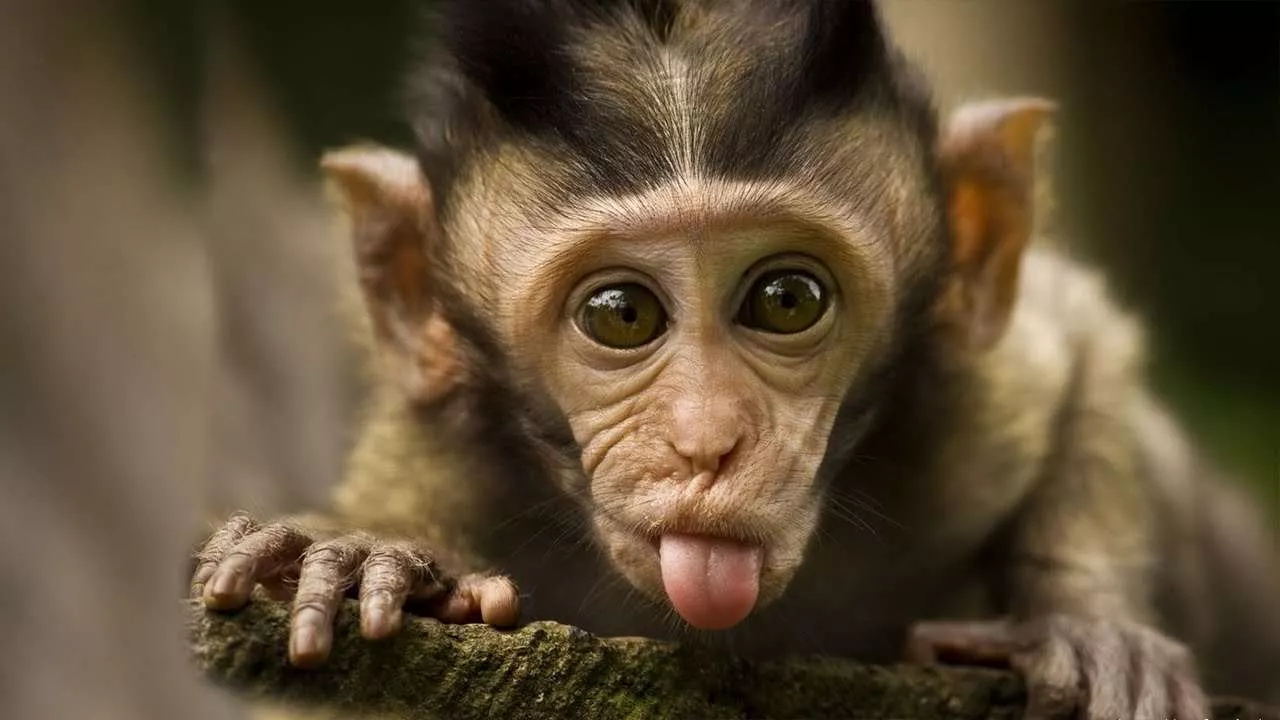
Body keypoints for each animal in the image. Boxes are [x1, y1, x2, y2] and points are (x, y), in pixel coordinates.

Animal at [190, 1, 1280, 718]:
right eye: (621, 314)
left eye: (785, 300)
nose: (705, 443)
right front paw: (367, 554)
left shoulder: (974, 411)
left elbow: (1085, 345)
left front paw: (1086, 627)